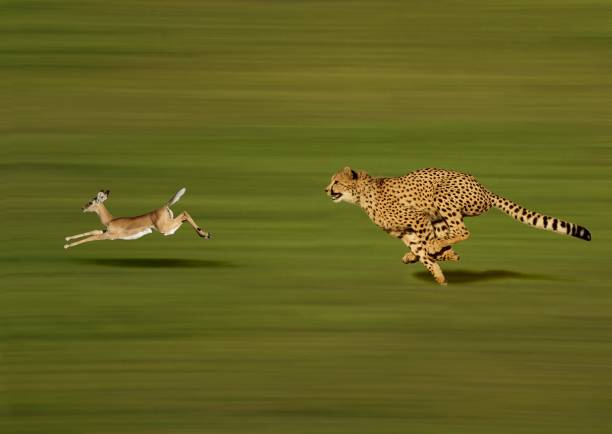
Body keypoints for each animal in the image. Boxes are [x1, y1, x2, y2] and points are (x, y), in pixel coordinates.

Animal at [326, 166, 592, 284]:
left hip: (443, 196)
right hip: (440, 215)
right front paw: (436, 266)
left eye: (336, 182)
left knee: (462, 231)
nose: (326, 190)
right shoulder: (407, 230)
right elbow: (418, 248)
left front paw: (439, 267)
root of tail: (484, 188)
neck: (362, 194)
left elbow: (424, 248)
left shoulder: (418, 220)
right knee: (450, 233)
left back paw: (440, 250)